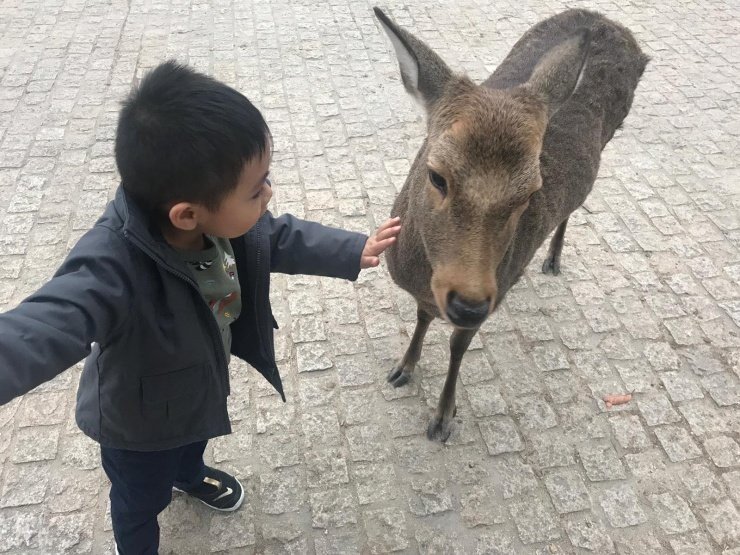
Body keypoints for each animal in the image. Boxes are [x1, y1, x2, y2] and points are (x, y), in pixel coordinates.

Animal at [376, 6, 648, 440]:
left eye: (529, 192)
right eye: (436, 176)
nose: (469, 304)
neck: (420, 273)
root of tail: (607, 19)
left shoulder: (497, 290)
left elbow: (457, 347)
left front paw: (443, 417)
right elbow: (421, 316)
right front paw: (403, 368)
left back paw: (553, 258)